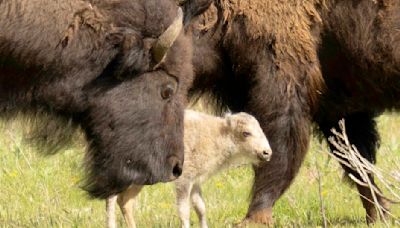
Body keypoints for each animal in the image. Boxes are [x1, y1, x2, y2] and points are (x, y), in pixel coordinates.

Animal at [106, 109, 272, 227]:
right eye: (246, 133)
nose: (267, 152)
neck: (216, 135)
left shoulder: (195, 182)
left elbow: (200, 208)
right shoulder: (184, 181)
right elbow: (184, 211)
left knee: (125, 201)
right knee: (112, 199)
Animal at [182, 0, 400, 224]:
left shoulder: (282, 85)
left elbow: (278, 150)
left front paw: (254, 218)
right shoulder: (338, 107)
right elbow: (356, 162)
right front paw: (378, 216)